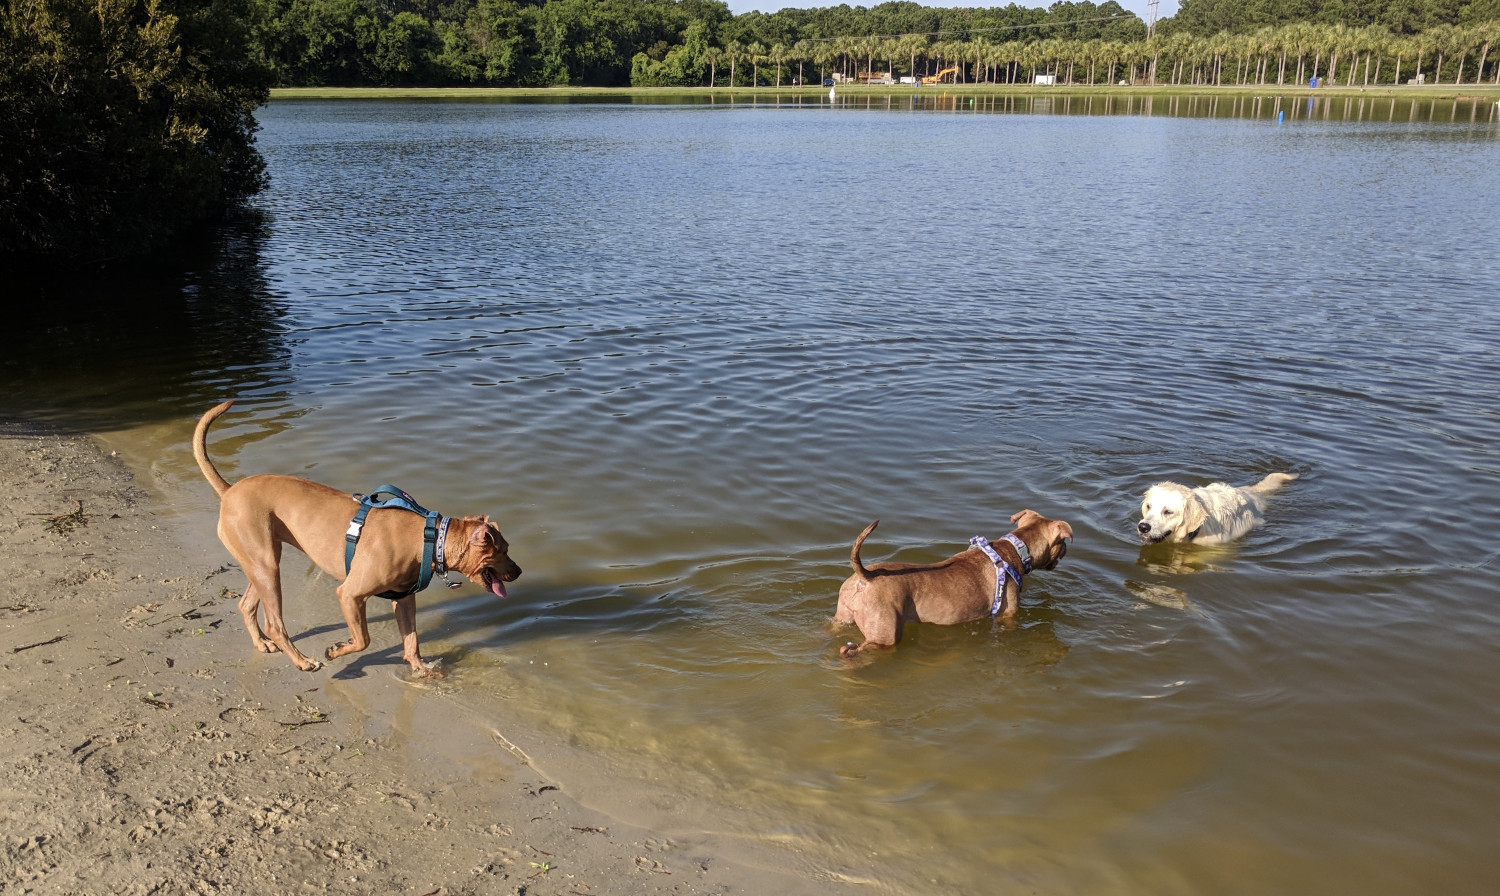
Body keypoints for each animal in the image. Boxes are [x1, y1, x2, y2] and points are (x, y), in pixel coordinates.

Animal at [193, 402, 522, 675]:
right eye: (503, 549)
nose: (519, 571)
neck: (430, 540)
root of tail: (229, 491)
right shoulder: (350, 594)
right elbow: (363, 639)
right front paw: (336, 650)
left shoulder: (404, 599)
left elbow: (412, 640)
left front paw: (421, 668)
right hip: (266, 566)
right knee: (275, 623)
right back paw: (302, 661)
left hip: (260, 564)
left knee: (246, 605)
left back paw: (262, 643)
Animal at [834, 510, 1068, 657]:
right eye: (1062, 542)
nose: (1066, 550)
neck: (1016, 549)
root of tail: (865, 577)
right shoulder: (1008, 616)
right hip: (885, 635)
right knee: (855, 649)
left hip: (843, 614)